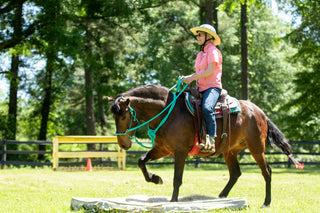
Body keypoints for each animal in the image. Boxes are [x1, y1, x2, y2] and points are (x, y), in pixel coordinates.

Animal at [107, 83, 302, 208]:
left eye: (123, 116)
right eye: (114, 117)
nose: (123, 143)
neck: (169, 112)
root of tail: (259, 111)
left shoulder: (180, 152)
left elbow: (177, 178)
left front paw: (173, 201)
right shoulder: (163, 149)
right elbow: (141, 161)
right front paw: (155, 178)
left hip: (256, 148)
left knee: (266, 171)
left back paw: (266, 202)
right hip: (230, 151)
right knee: (235, 174)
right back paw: (221, 198)